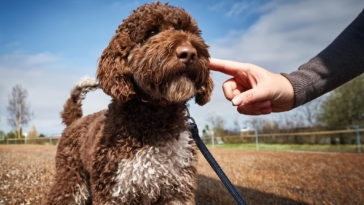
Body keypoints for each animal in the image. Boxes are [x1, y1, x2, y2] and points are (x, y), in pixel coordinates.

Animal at [43, 2, 213, 205]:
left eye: (188, 30)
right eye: (152, 31)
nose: (189, 53)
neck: (154, 114)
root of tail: (75, 121)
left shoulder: (177, 190)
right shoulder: (113, 191)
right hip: (71, 180)